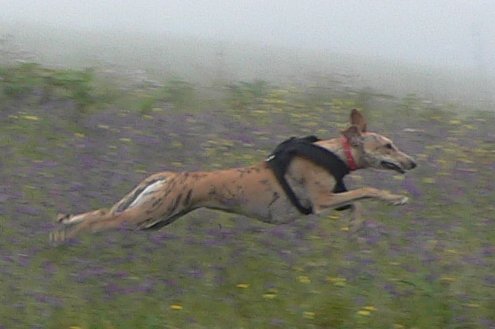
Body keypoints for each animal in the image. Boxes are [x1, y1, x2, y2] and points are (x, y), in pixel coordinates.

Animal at [50, 109, 416, 242]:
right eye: (388, 145)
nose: (412, 163)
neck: (337, 153)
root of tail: (166, 175)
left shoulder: (331, 200)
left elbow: (357, 202)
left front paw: (356, 224)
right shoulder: (322, 200)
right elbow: (367, 191)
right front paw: (395, 198)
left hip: (151, 216)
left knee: (98, 212)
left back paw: (64, 228)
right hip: (147, 213)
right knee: (98, 221)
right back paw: (68, 237)